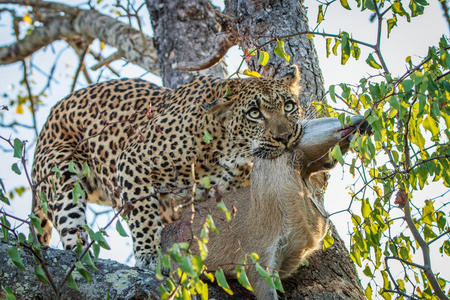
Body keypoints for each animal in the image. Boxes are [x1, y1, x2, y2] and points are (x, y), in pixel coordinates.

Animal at [31, 67, 302, 268]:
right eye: (254, 113)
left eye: (289, 106)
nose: (285, 137)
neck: (231, 151)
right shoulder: (133, 159)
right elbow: (142, 213)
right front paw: (148, 255)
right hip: (62, 178)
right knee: (71, 229)